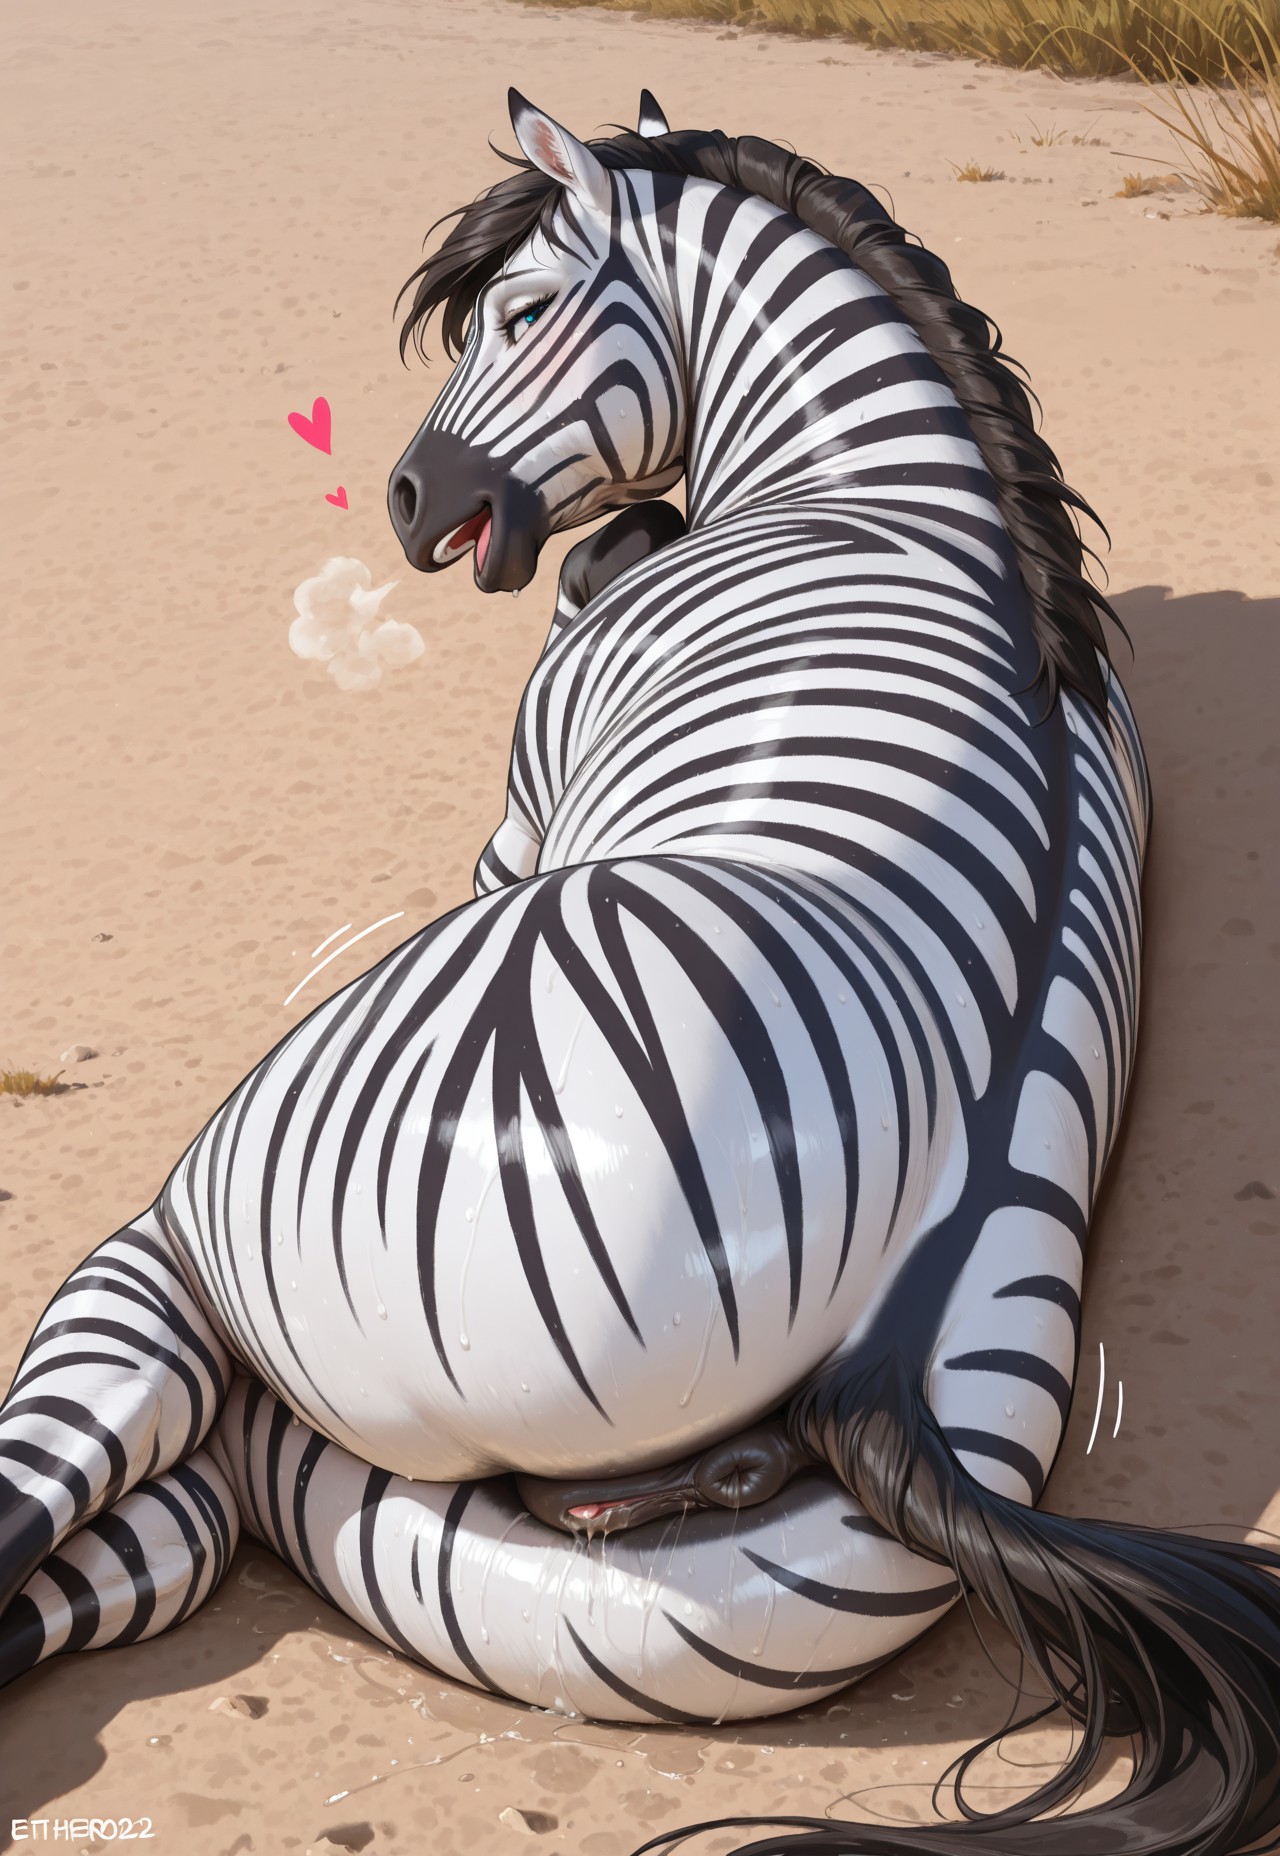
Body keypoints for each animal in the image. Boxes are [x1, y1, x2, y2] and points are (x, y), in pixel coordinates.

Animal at [2, 85, 1278, 1856]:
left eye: (526, 311)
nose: (405, 502)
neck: (886, 497)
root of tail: (886, 1376)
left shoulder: (527, 800)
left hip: (229, 1210)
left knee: (105, 1426)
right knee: (177, 1522)